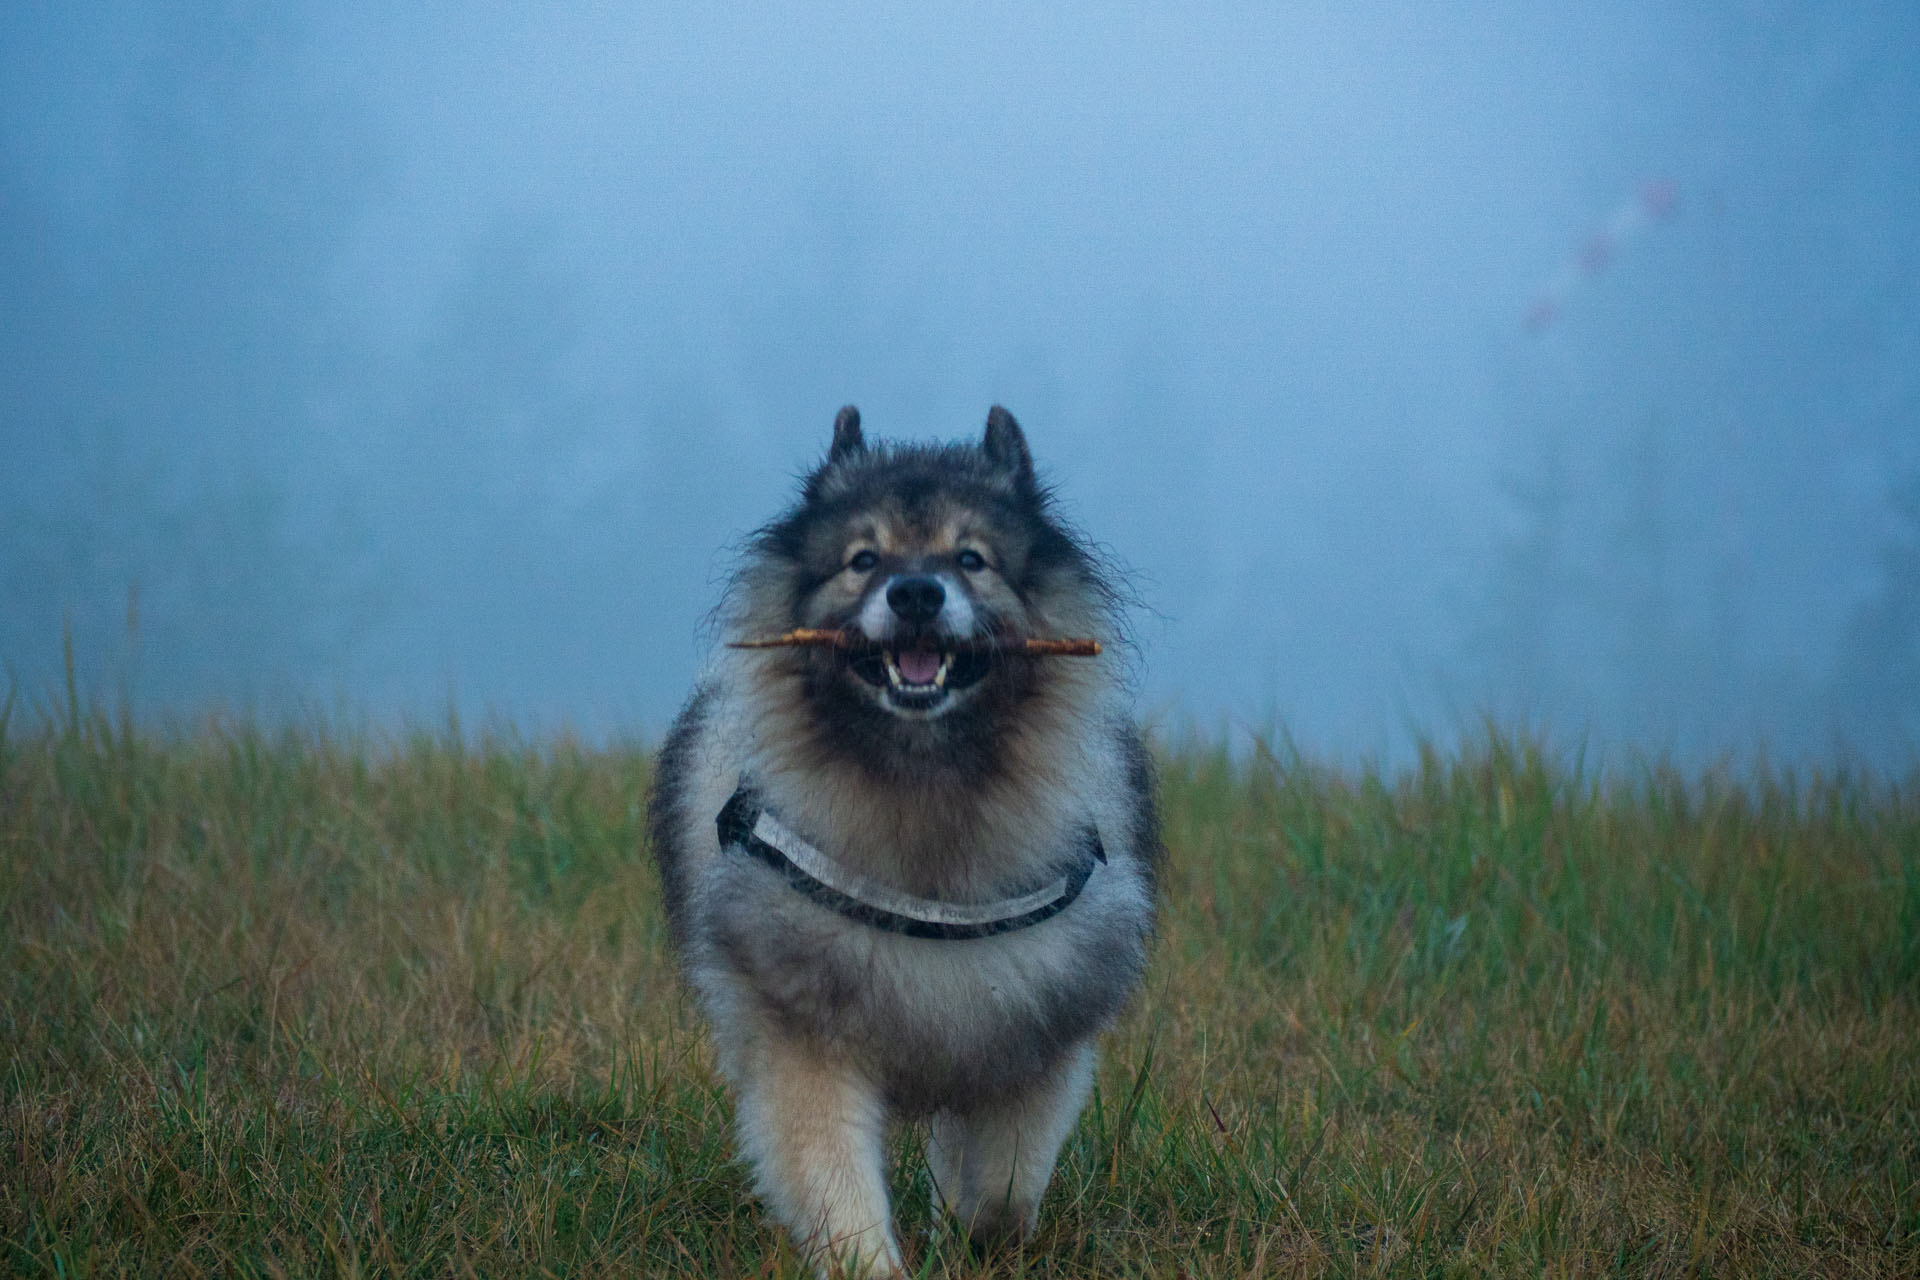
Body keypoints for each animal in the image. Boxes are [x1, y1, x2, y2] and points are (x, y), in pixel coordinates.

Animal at [645, 404, 1152, 1274]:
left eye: (971, 558)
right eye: (863, 560)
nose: (916, 592)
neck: (923, 781)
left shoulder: (1034, 1034)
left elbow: (1001, 1188)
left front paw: (975, 1234)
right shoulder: (807, 1031)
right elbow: (837, 1183)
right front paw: (871, 1261)